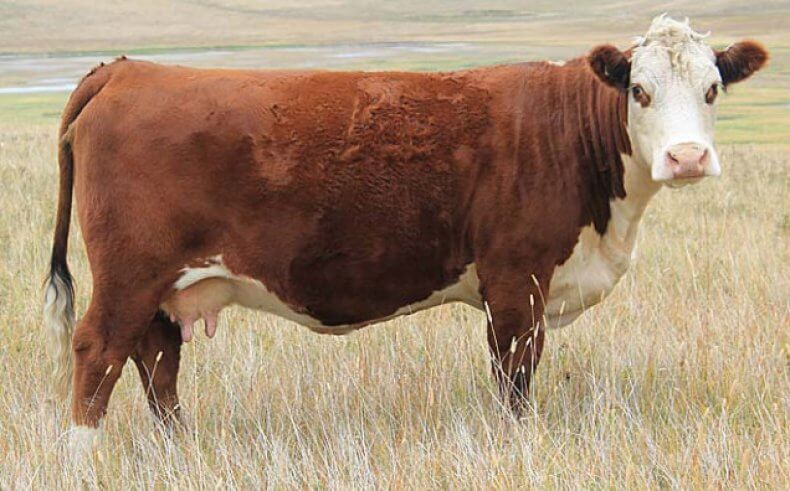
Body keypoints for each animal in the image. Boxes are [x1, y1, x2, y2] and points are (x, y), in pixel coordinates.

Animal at [43, 15, 767, 453]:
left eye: (712, 88)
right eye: (640, 91)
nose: (686, 157)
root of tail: (128, 68)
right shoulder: (517, 280)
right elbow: (515, 378)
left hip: (167, 287)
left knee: (157, 363)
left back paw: (181, 449)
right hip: (130, 274)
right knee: (99, 352)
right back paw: (84, 456)